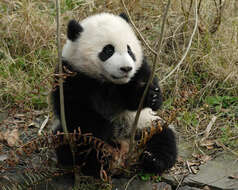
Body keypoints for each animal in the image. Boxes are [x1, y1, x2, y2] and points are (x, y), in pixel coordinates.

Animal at [51, 12, 177, 177]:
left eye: (130, 50)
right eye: (108, 50)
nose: (126, 68)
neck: (108, 82)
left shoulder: (137, 73)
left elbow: (135, 99)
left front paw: (152, 96)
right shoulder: (70, 75)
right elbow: (78, 113)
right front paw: (105, 127)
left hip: (143, 124)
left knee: (163, 136)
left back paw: (153, 160)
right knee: (69, 144)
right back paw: (98, 163)